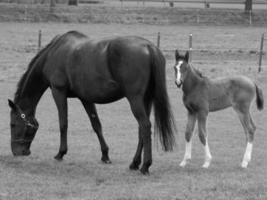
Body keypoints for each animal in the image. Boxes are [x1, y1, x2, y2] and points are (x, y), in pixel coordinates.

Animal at [7, 30, 177, 175]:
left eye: (12, 125)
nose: (17, 152)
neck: (53, 53)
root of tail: (149, 47)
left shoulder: (58, 91)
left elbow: (63, 123)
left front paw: (60, 153)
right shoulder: (86, 98)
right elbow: (96, 125)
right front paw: (105, 155)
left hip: (135, 99)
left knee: (145, 126)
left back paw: (145, 166)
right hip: (145, 100)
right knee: (141, 129)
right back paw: (134, 163)